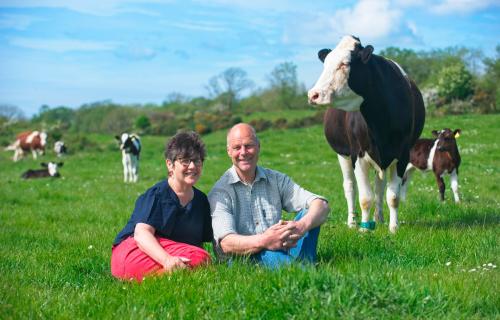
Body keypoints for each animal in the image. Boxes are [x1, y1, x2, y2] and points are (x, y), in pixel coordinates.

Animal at [308, 35, 426, 232]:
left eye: (345, 64)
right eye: (326, 64)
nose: (313, 94)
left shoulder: (402, 154)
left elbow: (392, 196)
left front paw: (393, 227)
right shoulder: (358, 154)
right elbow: (364, 198)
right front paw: (364, 229)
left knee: (379, 187)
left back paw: (379, 218)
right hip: (343, 154)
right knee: (350, 187)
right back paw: (352, 222)